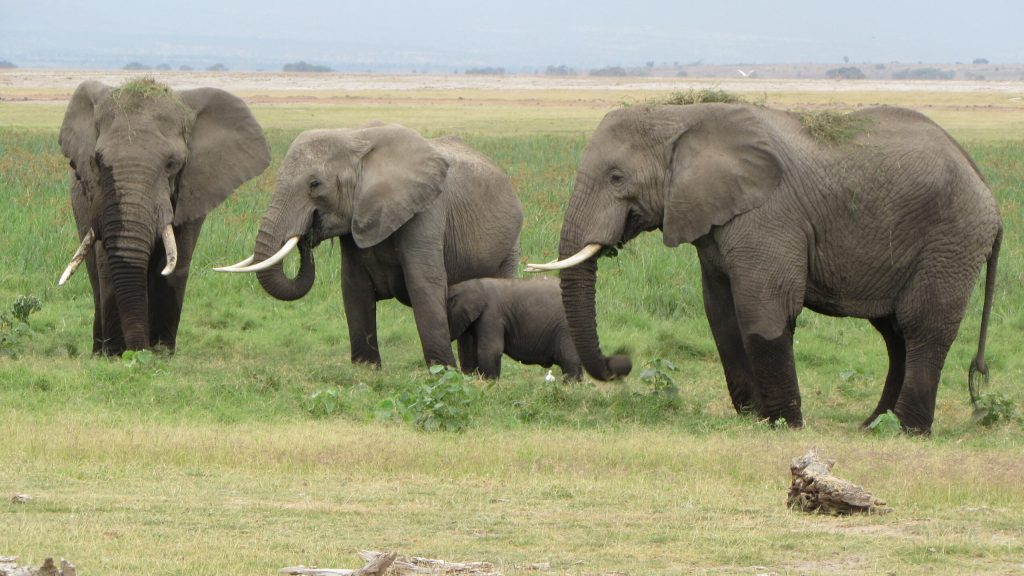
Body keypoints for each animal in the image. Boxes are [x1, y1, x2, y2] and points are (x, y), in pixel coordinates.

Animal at [58, 77, 270, 354]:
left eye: (172, 164)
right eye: (97, 161)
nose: (140, 350)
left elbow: (175, 264)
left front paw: (162, 353)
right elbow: (106, 262)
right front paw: (115, 355)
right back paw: (99, 351)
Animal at [216, 123, 520, 366]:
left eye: (315, 184)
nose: (306, 234)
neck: (355, 136)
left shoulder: (428, 210)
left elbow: (424, 284)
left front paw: (443, 372)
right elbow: (354, 287)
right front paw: (366, 369)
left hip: (510, 243)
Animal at [448, 276, 630, 379]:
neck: (470, 284)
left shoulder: (491, 314)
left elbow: (490, 350)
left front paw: (489, 383)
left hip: (565, 328)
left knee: (569, 359)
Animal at [532, 104, 1003, 434]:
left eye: (616, 177)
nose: (623, 362)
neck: (681, 116)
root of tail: (990, 196)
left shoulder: (770, 215)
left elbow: (765, 310)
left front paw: (782, 424)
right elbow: (721, 315)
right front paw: (751, 417)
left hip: (950, 241)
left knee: (923, 328)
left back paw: (907, 431)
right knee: (895, 335)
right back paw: (872, 427)